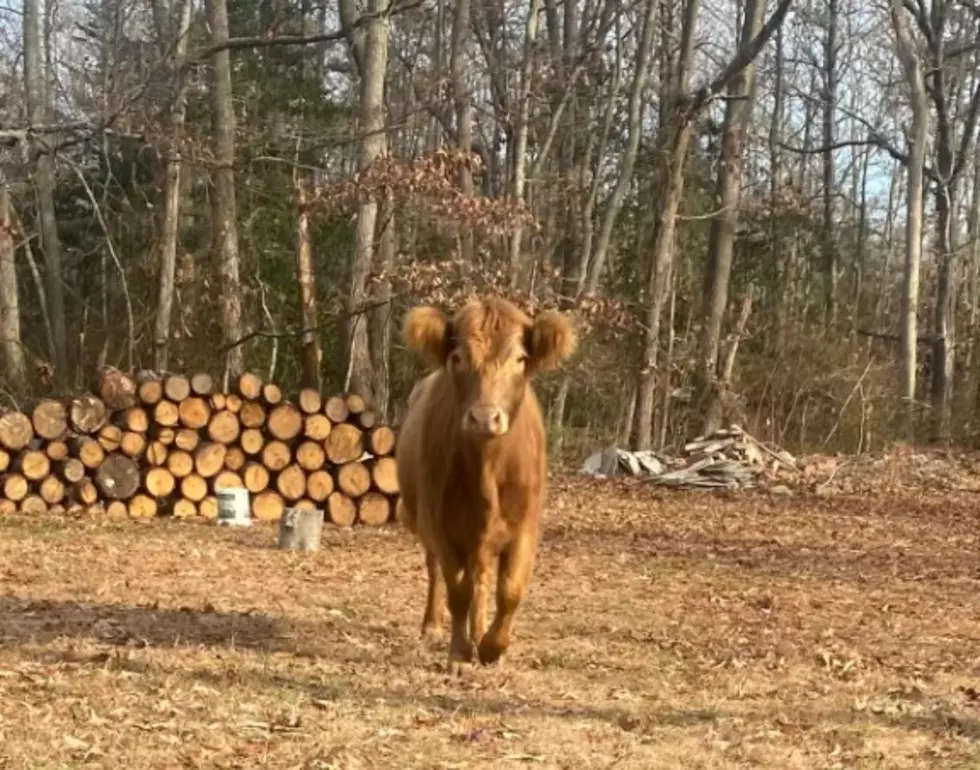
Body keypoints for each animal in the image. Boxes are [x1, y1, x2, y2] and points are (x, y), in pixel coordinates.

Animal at [394, 294, 576, 664]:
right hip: (422, 520)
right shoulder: (440, 525)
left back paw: (479, 631)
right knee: (437, 571)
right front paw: (461, 650)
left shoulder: (526, 526)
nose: (484, 418)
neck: (487, 473)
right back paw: (433, 626)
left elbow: (510, 589)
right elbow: (457, 588)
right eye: (457, 357)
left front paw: (492, 647)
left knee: (482, 576)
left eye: (520, 359)